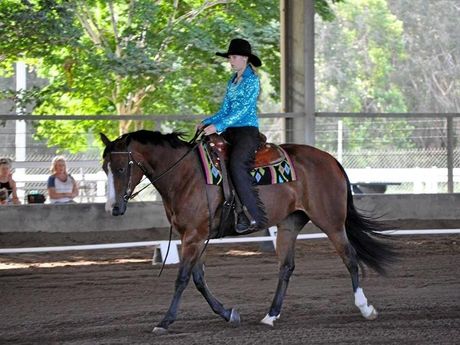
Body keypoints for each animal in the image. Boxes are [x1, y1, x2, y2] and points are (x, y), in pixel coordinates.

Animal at [99, 129, 396, 334]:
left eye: (122, 167)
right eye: (104, 168)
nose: (113, 208)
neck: (185, 176)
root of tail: (331, 160)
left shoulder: (194, 236)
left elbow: (182, 278)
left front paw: (165, 321)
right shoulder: (196, 236)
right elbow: (198, 278)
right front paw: (228, 313)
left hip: (331, 222)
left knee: (350, 258)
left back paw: (365, 308)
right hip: (289, 224)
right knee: (286, 267)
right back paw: (270, 315)